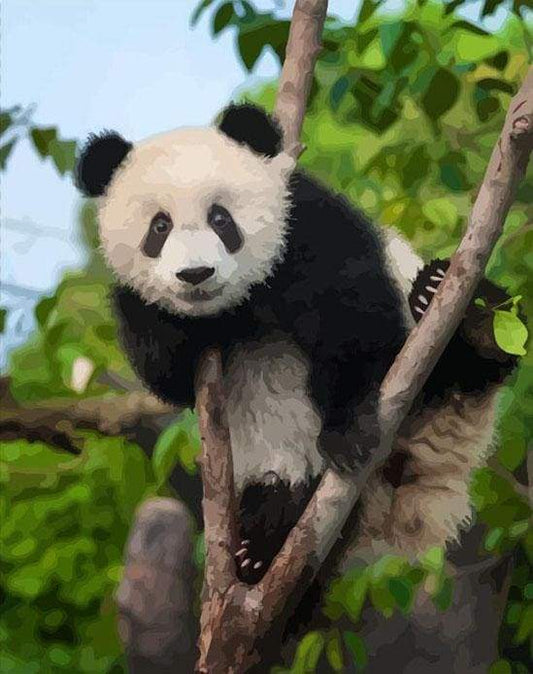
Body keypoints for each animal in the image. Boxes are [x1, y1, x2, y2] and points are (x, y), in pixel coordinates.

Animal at [76, 103, 518, 587]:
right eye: (160, 227)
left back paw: (461, 310)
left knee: (466, 354)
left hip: (437, 365)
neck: (237, 306)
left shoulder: (306, 227)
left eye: (220, 219)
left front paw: (347, 431)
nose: (196, 275)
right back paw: (263, 543)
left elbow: (352, 321)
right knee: (278, 492)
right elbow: (166, 374)